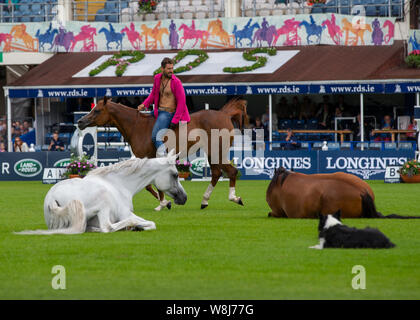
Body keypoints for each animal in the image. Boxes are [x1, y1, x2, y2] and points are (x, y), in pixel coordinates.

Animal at [16, 150, 187, 235]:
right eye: (175, 174)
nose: (184, 198)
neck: (119, 184)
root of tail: (51, 199)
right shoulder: (125, 213)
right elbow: (151, 223)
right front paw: (138, 226)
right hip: (103, 204)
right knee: (107, 227)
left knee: (91, 228)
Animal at [77, 96, 248, 209]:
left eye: (97, 110)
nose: (80, 121)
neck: (137, 126)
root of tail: (224, 114)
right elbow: (149, 185)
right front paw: (164, 202)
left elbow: (151, 184)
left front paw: (164, 203)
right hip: (212, 153)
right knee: (217, 173)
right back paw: (205, 201)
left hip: (216, 152)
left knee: (231, 172)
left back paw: (234, 198)